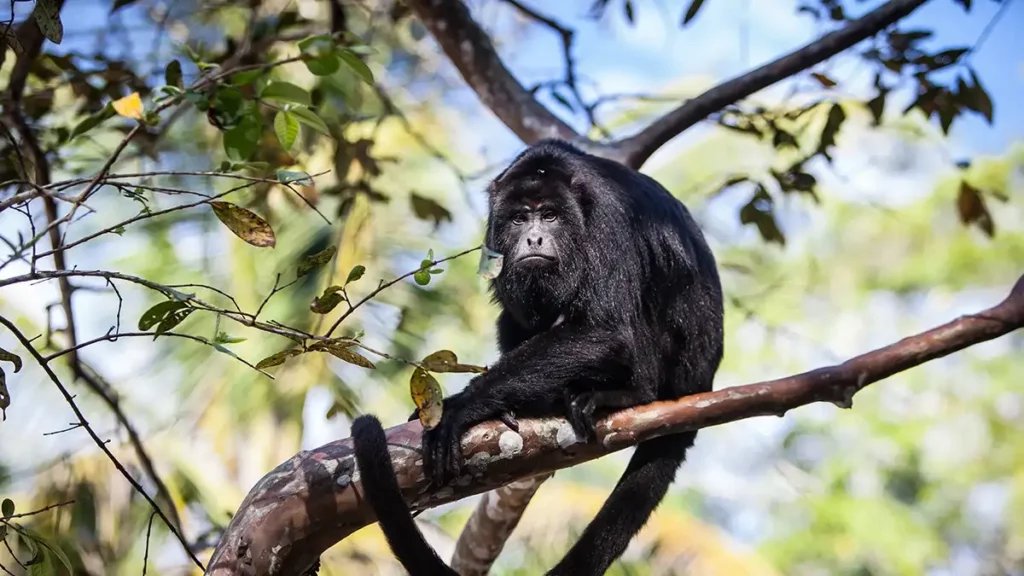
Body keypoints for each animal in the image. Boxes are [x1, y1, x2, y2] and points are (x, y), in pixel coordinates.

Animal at [352, 139, 724, 575]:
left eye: (549, 215)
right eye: (519, 219)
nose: (533, 239)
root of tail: (702, 381)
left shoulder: (609, 218)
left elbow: (605, 330)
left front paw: (462, 406)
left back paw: (628, 394)